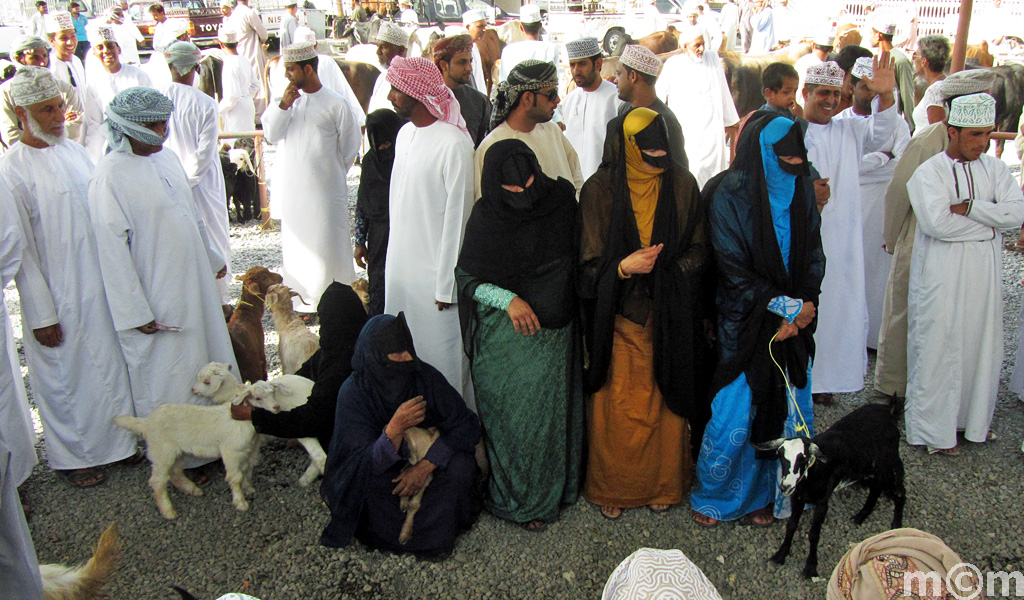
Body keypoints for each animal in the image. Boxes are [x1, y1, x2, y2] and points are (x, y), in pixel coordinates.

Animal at [753, 399, 905, 577]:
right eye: (780, 454)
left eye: (803, 458)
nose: (786, 486)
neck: (815, 471)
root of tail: (889, 411)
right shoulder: (797, 497)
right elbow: (791, 526)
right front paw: (781, 554)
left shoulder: (822, 502)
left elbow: (814, 534)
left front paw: (810, 567)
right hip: (869, 467)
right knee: (876, 487)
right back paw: (861, 515)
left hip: (889, 463)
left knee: (900, 492)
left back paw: (897, 526)